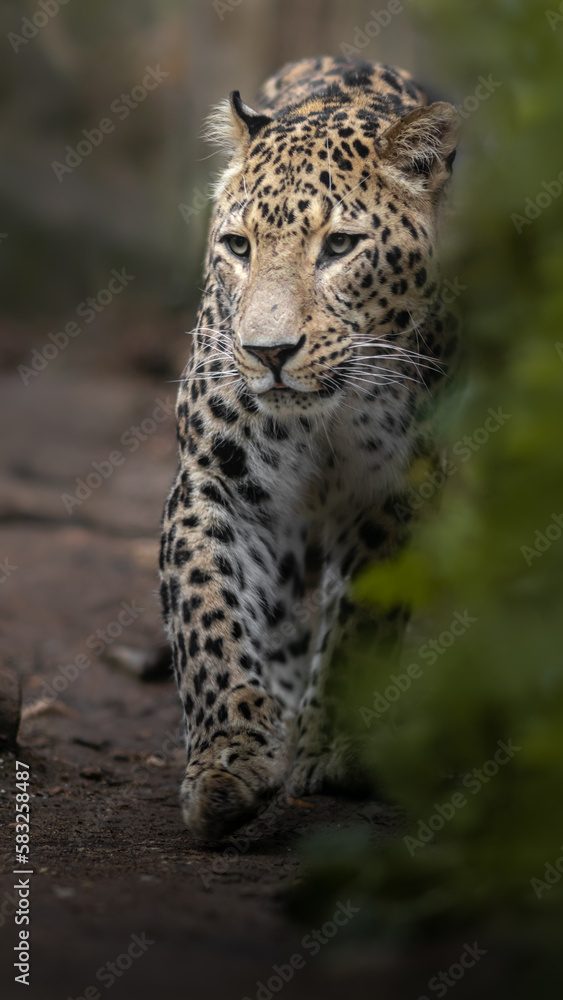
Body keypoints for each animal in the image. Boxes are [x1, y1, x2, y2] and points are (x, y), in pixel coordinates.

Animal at [159, 56, 461, 840]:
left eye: (340, 247)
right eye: (239, 247)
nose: (268, 353)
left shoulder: (389, 493)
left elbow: (360, 622)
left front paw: (331, 748)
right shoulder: (215, 482)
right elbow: (209, 613)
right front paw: (228, 761)